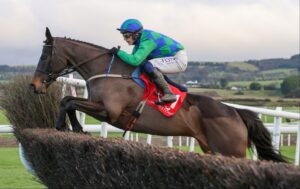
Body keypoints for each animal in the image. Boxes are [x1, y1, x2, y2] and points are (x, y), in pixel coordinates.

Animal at [30, 28, 286, 162]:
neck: (108, 70)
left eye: (44, 56)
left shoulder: (110, 112)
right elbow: (68, 100)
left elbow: (69, 101)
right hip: (212, 149)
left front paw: (64, 125)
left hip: (230, 151)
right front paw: (75, 127)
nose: (34, 85)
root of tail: (235, 112)